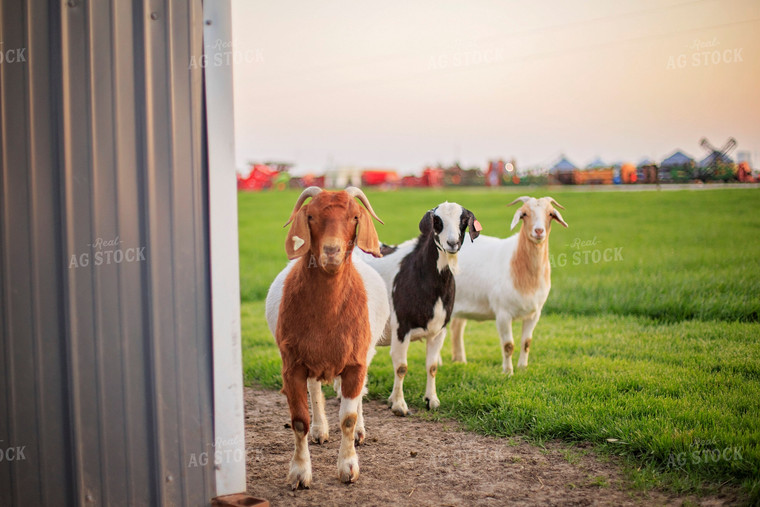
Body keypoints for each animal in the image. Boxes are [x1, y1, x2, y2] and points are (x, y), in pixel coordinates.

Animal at [266, 189, 388, 490]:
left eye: (354, 216)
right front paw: (300, 473)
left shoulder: (356, 363)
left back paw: (359, 433)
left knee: (358, 396)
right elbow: (299, 421)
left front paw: (348, 467)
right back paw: (320, 430)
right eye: (310, 216)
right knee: (314, 390)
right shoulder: (292, 365)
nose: (332, 251)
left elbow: (348, 417)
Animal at [358, 202, 480, 416]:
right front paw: (399, 405)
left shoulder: (439, 330)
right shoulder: (401, 327)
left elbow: (432, 366)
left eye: (464, 221)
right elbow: (401, 366)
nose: (452, 243)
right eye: (437, 220)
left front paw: (431, 400)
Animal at [448, 196, 568, 376]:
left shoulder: (534, 314)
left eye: (550, 214)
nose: (539, 231)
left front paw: (523, 368)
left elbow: (526, 342)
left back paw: (460, 361)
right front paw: (508, 372)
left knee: (456, 327)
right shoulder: (503, 313)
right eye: (524, 214)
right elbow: (508, 345)